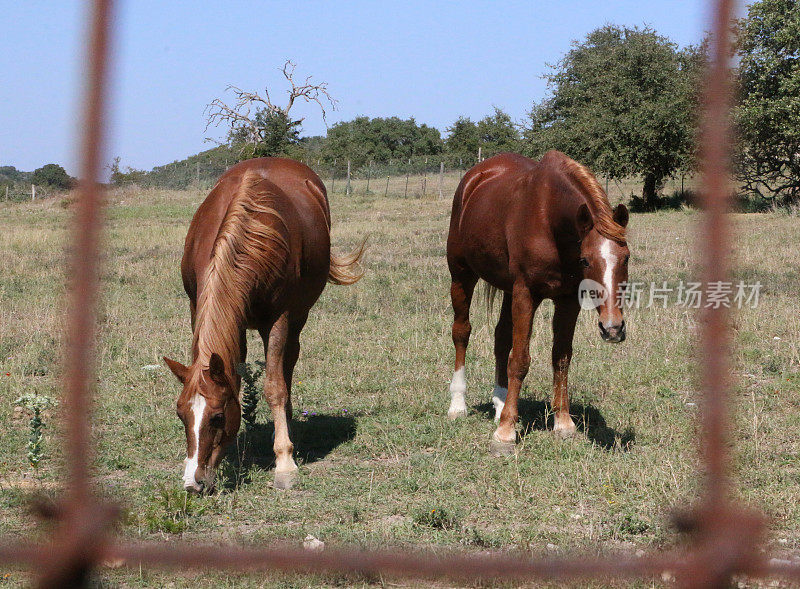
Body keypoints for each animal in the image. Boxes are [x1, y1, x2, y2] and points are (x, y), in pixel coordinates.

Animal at [164, 157, 364, 492]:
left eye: (217, 418)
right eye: (181, 415)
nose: (194, 483)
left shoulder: (279, 318)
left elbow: (275, 386)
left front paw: (284, 461)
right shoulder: (202, 310)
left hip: (297, 318)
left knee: (288, 365)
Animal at [446, 149, 628, 452]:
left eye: (626, 258)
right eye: (585, 260)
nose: (612, 328)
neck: (549, 220)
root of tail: (475, 177)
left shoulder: (567, 299)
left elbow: (561, 358)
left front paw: (563, 423)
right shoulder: (526, 294)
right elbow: (520, 360)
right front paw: (505, 432)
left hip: (507, 288)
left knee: (501, 338)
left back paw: (499, 403)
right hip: (462, 276)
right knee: (461, 332)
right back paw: (458, 404)